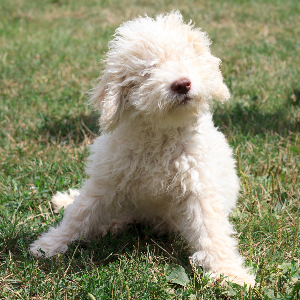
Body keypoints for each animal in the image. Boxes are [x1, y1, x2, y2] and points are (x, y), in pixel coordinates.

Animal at [29, 10, 255, 284]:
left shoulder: (199, 187)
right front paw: (49, 245)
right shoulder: (108, 179)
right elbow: (80, 213)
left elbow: (212, 232)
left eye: (186, 58)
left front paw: (230, 274)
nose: (182, 84)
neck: (161, 134)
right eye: (148, 69)